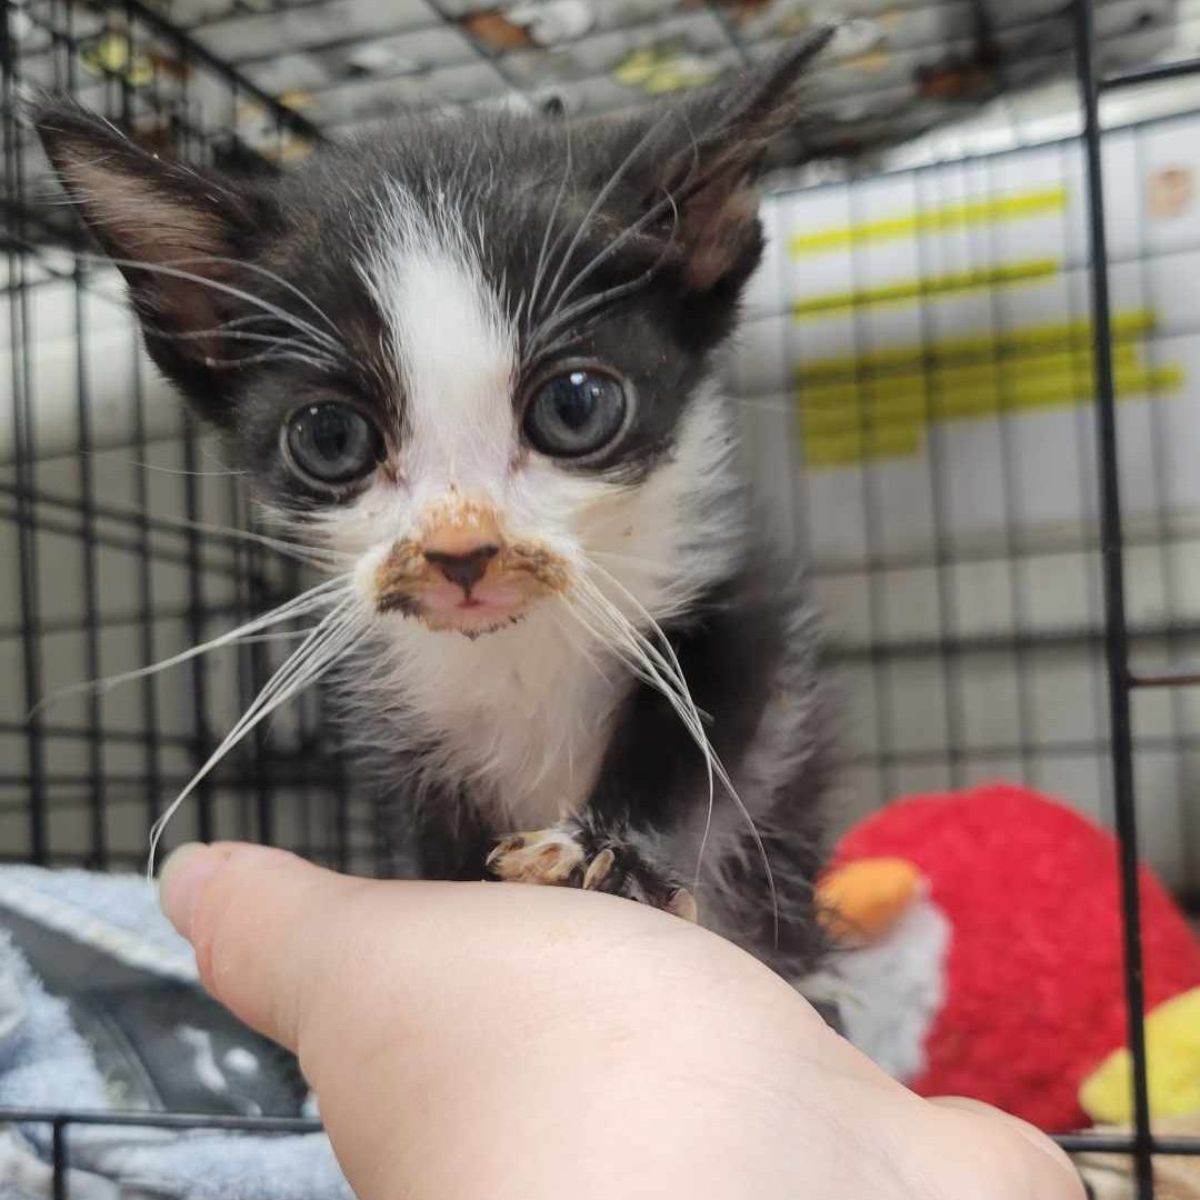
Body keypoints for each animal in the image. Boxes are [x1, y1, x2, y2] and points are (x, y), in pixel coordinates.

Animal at [35, 35, 835, 984]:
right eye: (331, 436)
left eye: (575, 407)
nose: (462, 551)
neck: (518, 651)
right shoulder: (397, 715)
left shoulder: (731, 594)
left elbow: (708, 727)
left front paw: (611, 852)